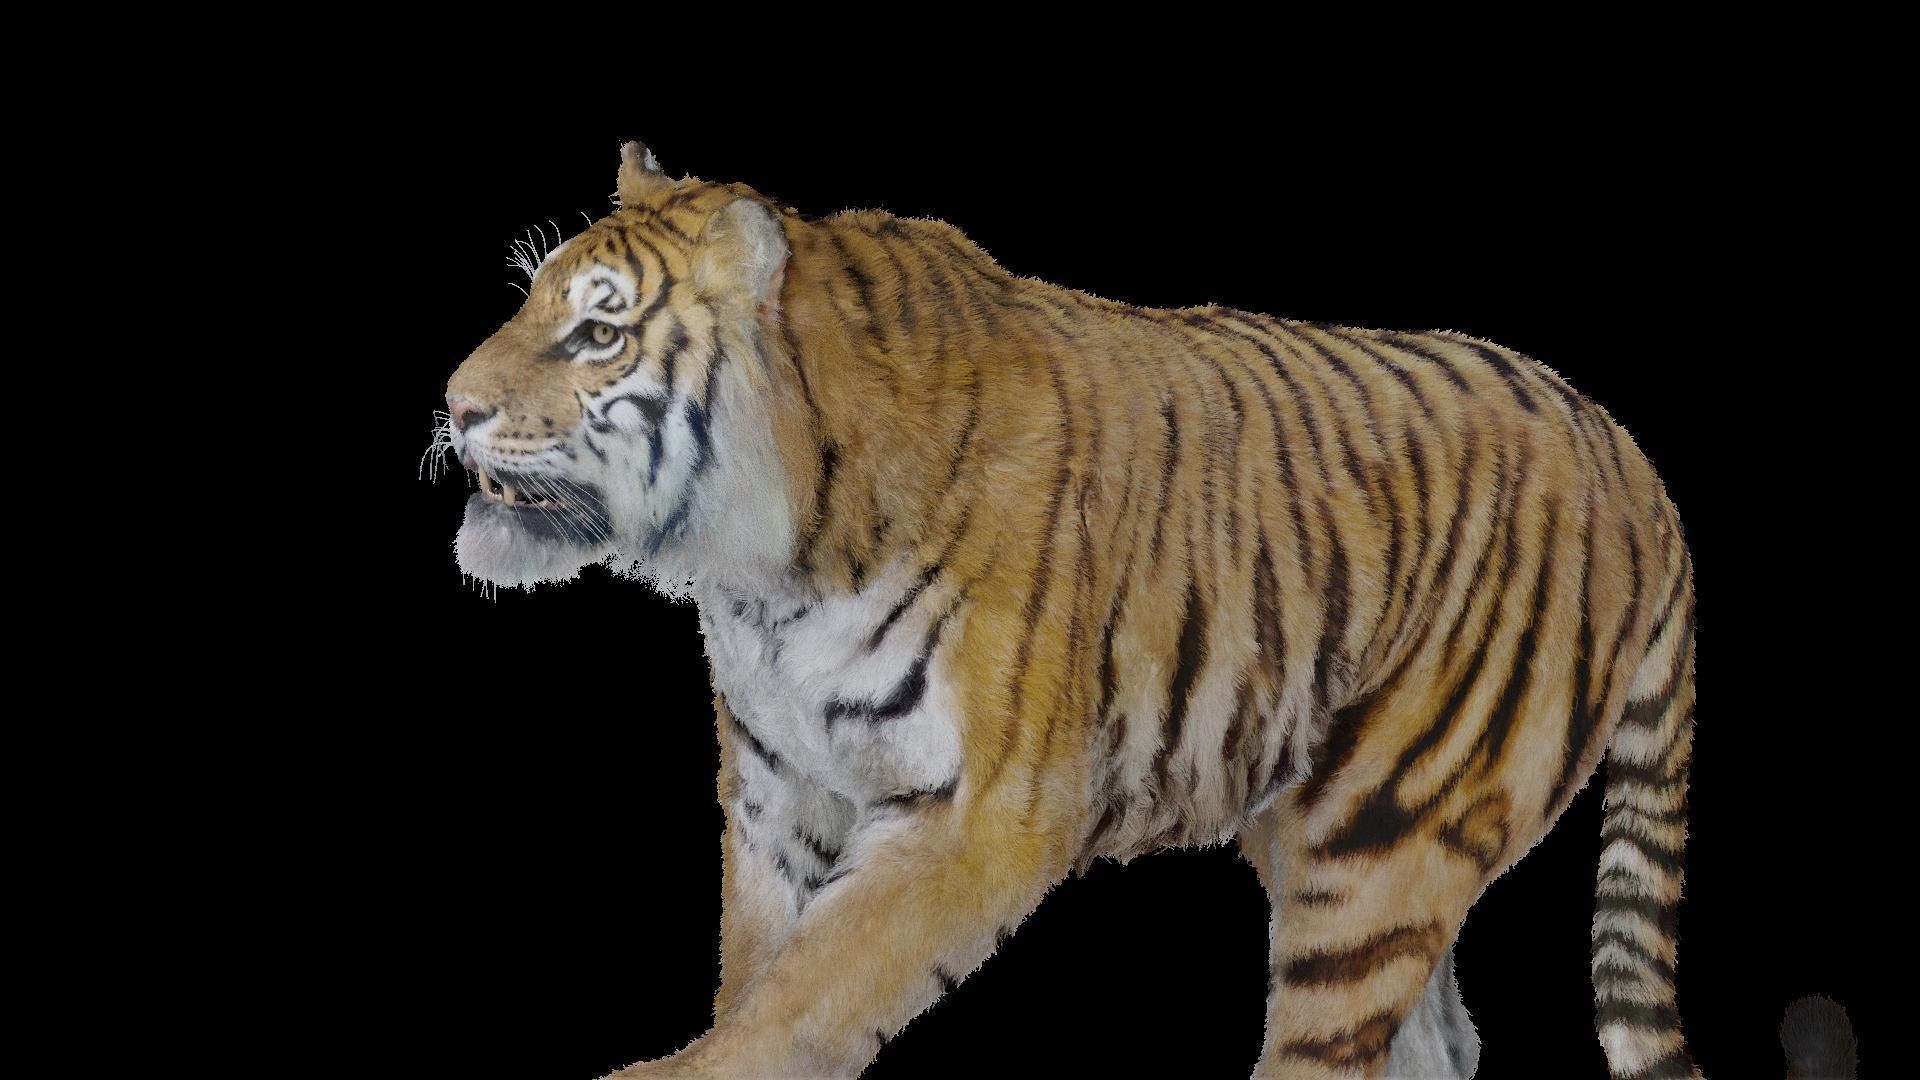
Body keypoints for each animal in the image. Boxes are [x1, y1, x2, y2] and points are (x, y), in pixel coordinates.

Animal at [434, 142, 1856, 1079]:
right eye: (530, 301)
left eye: (598, 334)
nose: (452, 406)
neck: (764, 572)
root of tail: (1631, 451)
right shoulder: (781, 790)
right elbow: (760, 975)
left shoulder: (983, 812)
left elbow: (806, 998)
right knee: (1435, 1044)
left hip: (1381, 839)